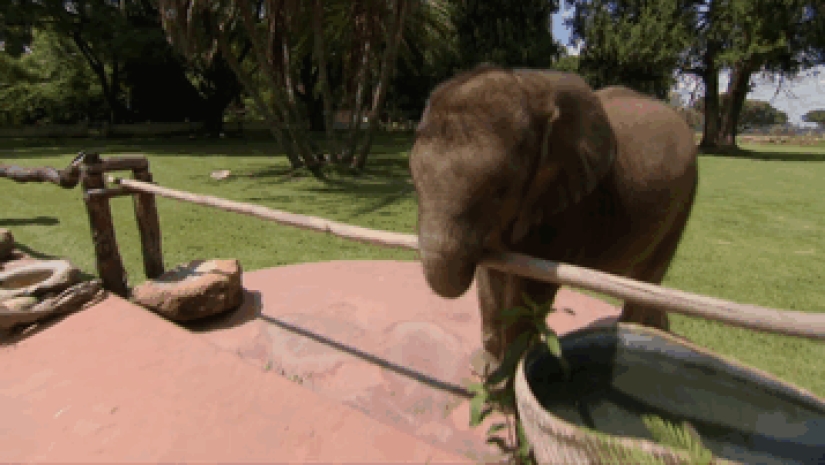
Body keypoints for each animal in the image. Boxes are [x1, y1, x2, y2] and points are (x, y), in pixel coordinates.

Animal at [409, 65, 699, 371]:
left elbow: (531, 289)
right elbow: (490, 278)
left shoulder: (567, 209)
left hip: (686, 196)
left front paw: (509, 373)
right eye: (414, 183)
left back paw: (632, 332)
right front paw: (487, 368)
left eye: (500, 192)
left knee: (649, 274)